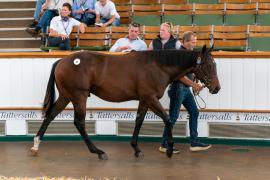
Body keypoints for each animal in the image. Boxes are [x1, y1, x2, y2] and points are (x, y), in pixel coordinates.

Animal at [30, 45, 219, 160]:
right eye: (209, 65)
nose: (216, 88)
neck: (158, 66)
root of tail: (62, 61)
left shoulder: (144, 100)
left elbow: (139, 120)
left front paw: (136, 149)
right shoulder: (150, 98)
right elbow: (167, 119)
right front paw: (170, 149)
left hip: (66, 96)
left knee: (50, 115)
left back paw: (36, 145)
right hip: (79, 97)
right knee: (79, 122)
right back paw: (98, 151)